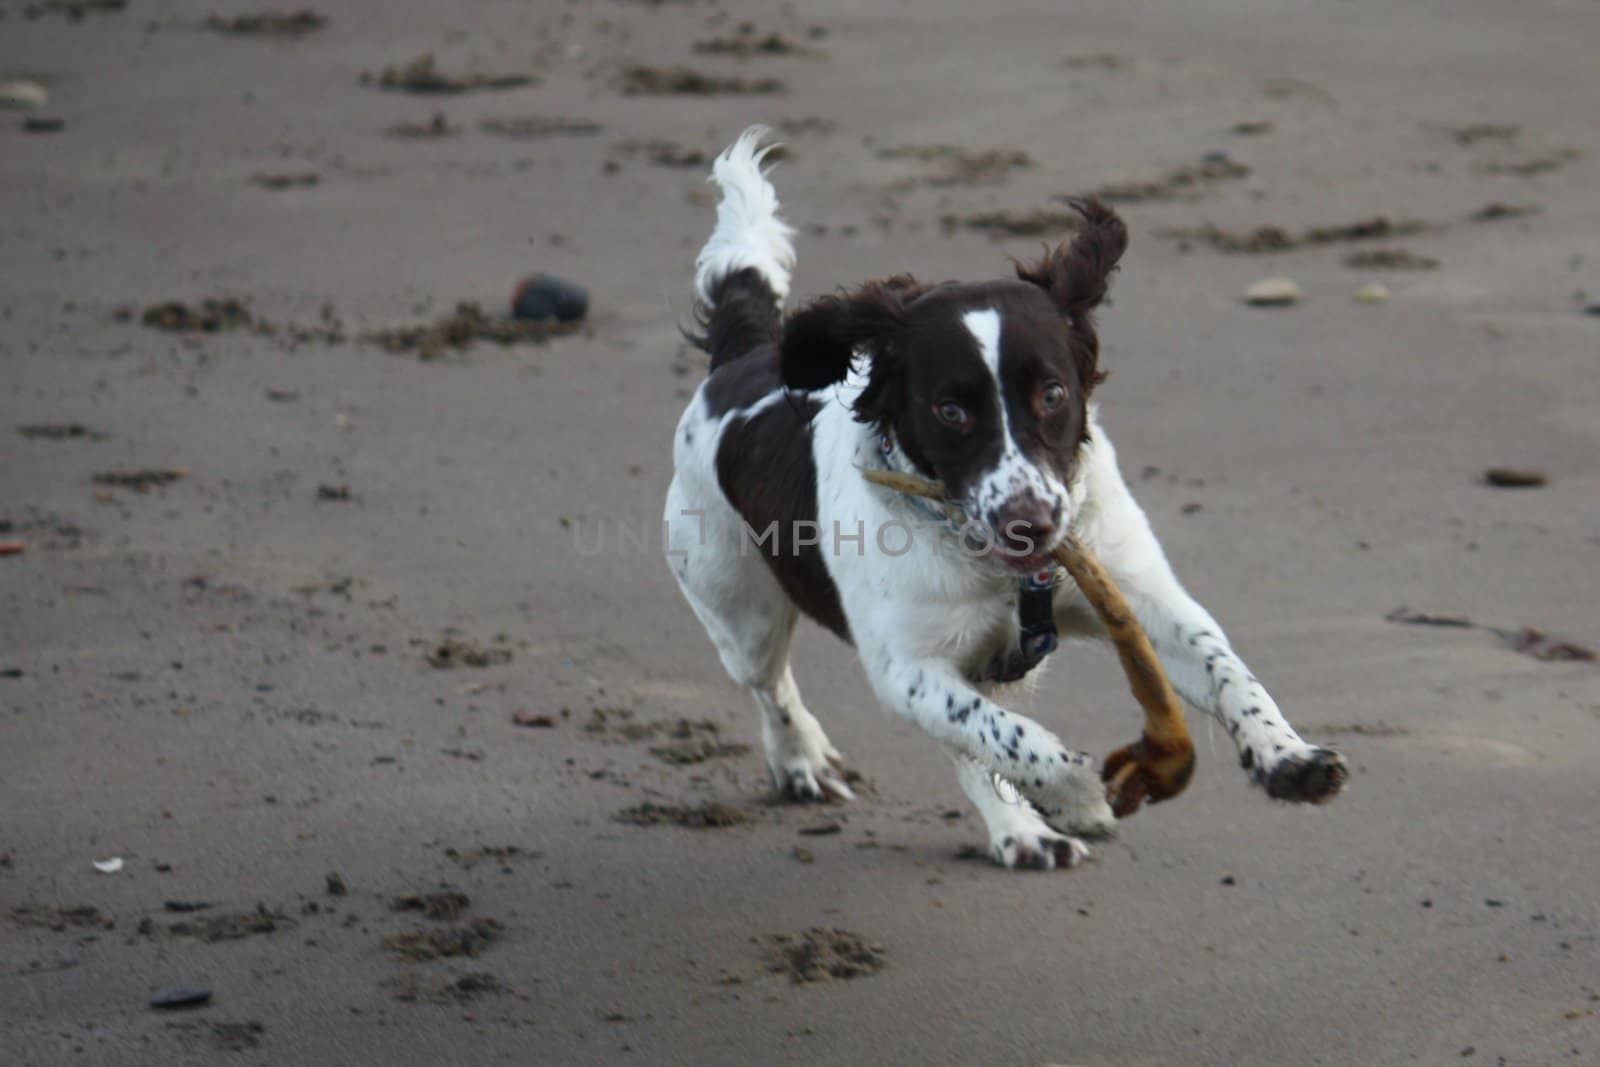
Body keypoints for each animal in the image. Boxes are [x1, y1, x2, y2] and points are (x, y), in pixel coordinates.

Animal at [662, 129, 1350, 870]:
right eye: (951, 409)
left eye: (1052, 393)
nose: (1032, 524)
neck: (998, 568)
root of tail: (742, 356)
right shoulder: (906, 666)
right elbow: (1004, 734)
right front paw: (1078, 796)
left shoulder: (1142, 599)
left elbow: (1228, 670)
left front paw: (1289, 757)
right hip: (739, 608)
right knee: (777, 687)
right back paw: (812, 763)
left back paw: (1019, 829)